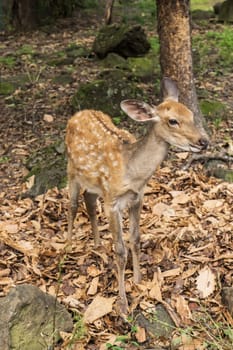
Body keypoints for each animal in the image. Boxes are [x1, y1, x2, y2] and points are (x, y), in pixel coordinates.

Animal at [65, 78, 208, 314]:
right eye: (173, 121)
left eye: (190, 114)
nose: (203, 141)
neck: (132, 173)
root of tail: (79, 113)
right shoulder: (112, 202)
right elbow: (120, 251)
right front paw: (123, 303)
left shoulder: (137, 197)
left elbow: (136, 239)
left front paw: (139, 280)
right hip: (71, 169)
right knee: (73, 204)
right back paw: (67, 245)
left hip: (94, 183)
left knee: (89, 199)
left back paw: (97, 244)